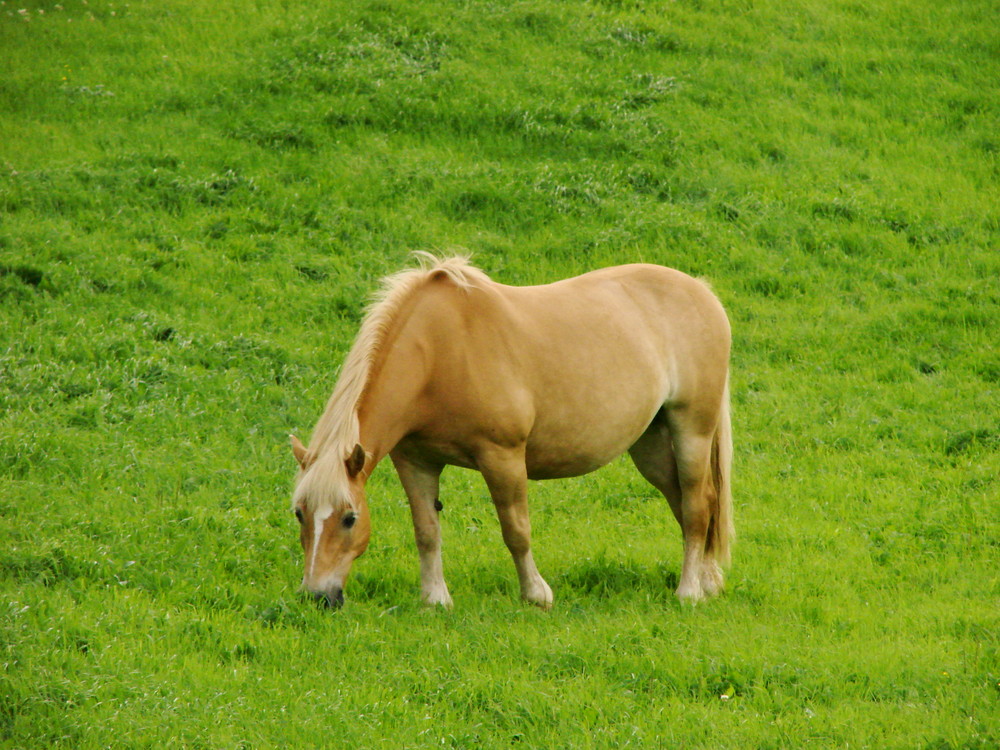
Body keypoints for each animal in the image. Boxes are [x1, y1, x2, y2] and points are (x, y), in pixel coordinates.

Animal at [292, 256, 736, 608]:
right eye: (300, 513)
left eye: (349, 518)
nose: (318, 596)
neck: (439, 351)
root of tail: (702, 291)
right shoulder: (415, 461)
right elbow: (427, 530)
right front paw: (435, 599)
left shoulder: (502, 457)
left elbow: (516, 530)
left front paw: (536, 595)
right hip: (650, 445)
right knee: (686, 503)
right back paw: (709, 581)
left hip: (691, 429)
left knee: (696, 505)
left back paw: (689, 592)